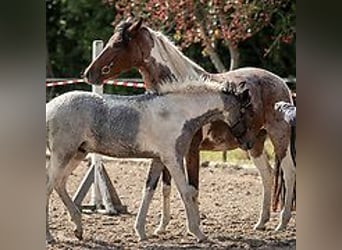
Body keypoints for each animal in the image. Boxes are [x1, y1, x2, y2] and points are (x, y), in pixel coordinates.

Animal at [83, 18, 296, 233]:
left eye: (118, 43)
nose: (88, 73)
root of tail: (282, 83)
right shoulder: (167, 151)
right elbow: (166, 186)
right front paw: (162, 226)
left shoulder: (191, 150)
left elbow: (192, 188)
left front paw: (194, 226)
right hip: (255, 144)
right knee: (267, 174)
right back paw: (261, 222)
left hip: (280, 139)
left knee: (289, 173)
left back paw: (282, 223)